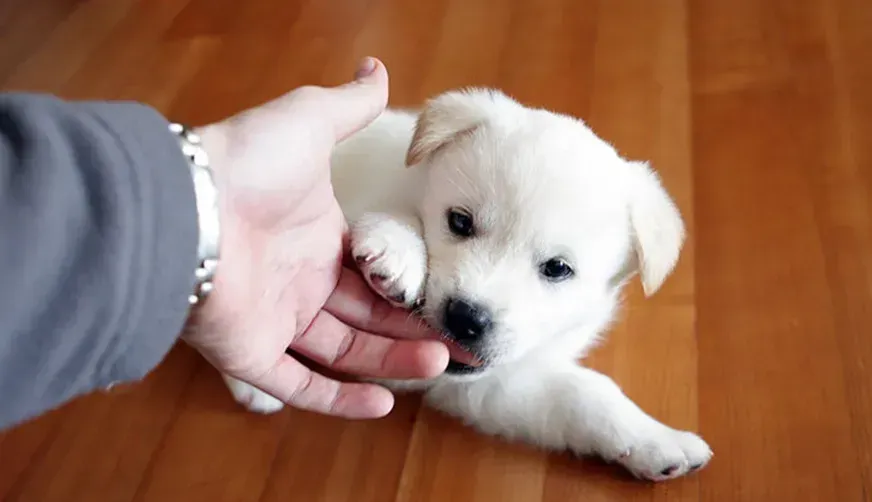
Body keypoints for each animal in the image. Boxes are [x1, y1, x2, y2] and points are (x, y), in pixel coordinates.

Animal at [221, 89, 712, 482]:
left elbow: (582, 393)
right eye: (459, 222)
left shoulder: (493, 384)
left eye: (557, 268)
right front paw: (397, 248)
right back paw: (253, 386)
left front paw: (655, 440)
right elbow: (382, 220)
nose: (466, 318)